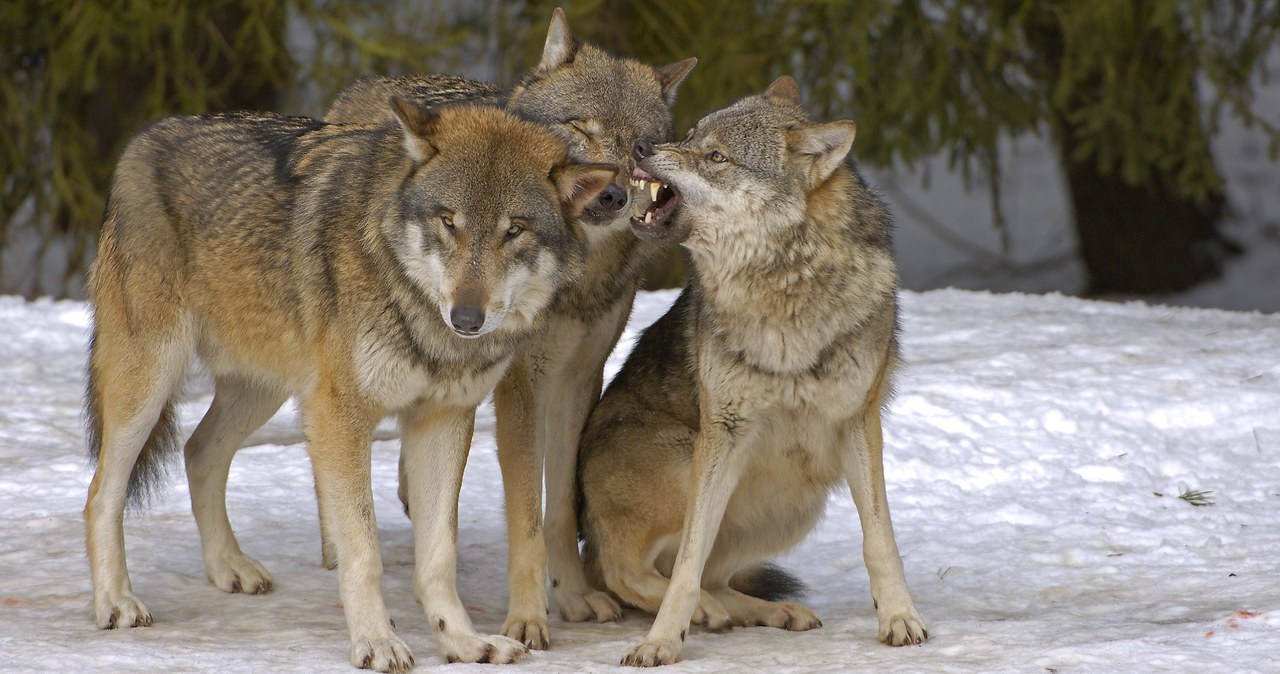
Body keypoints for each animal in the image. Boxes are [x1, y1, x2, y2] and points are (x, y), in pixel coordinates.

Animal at [83, 99, 614, 670]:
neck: (414, 304)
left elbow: (438, 556)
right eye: (448, 222)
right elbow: (362, 551)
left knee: (198, 451)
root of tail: (145, 139)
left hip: (264, 390)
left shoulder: (442, 420)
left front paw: (464, 642)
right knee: (101, 493)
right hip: (150, 382)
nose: (466, 318)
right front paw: (377, 642)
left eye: (514, 230)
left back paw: (229, 567)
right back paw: (116, 602)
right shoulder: (341, 418)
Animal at [325, 7, 696, 652]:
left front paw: (572, 596)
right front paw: (527, 619)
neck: (575, 276)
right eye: (580, 128)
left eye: (638, 147)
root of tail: (374, 84)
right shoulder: (522, 387)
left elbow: (560, 509)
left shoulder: (578, 380)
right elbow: (526, 517)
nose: (612, 194)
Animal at [581, 76, 931, 665]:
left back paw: (767, 612)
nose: (642, 148)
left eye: (716, 157)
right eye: (690, 135)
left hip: (800, 496)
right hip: (691, 463)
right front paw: (660, 642)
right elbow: (686, 564)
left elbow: (879, 540)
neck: (781, 294)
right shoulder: (722, 433)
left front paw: (900, 617)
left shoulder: (858, 425)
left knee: (707, 577)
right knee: (620, 570)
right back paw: (705, 612)